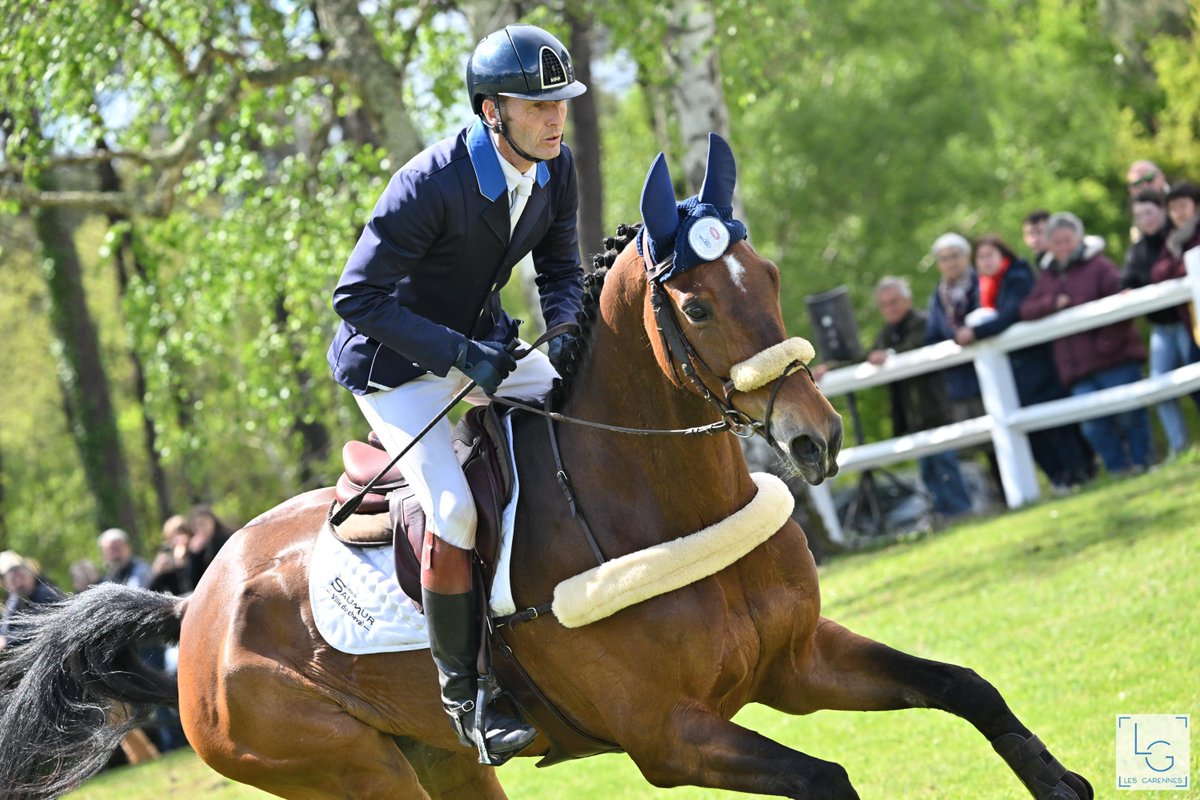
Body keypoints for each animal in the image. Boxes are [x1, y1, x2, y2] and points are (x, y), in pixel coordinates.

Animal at [0, 136, 1092, 800]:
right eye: (698, 306)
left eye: (773, 276)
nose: (816, 436)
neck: (662, 501)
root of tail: (193, 602)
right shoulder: (670, 735)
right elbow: (826, 777)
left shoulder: (797, 661)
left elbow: (966, 686)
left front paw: (1063, 780)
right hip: (351, 770)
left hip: (437, 760)